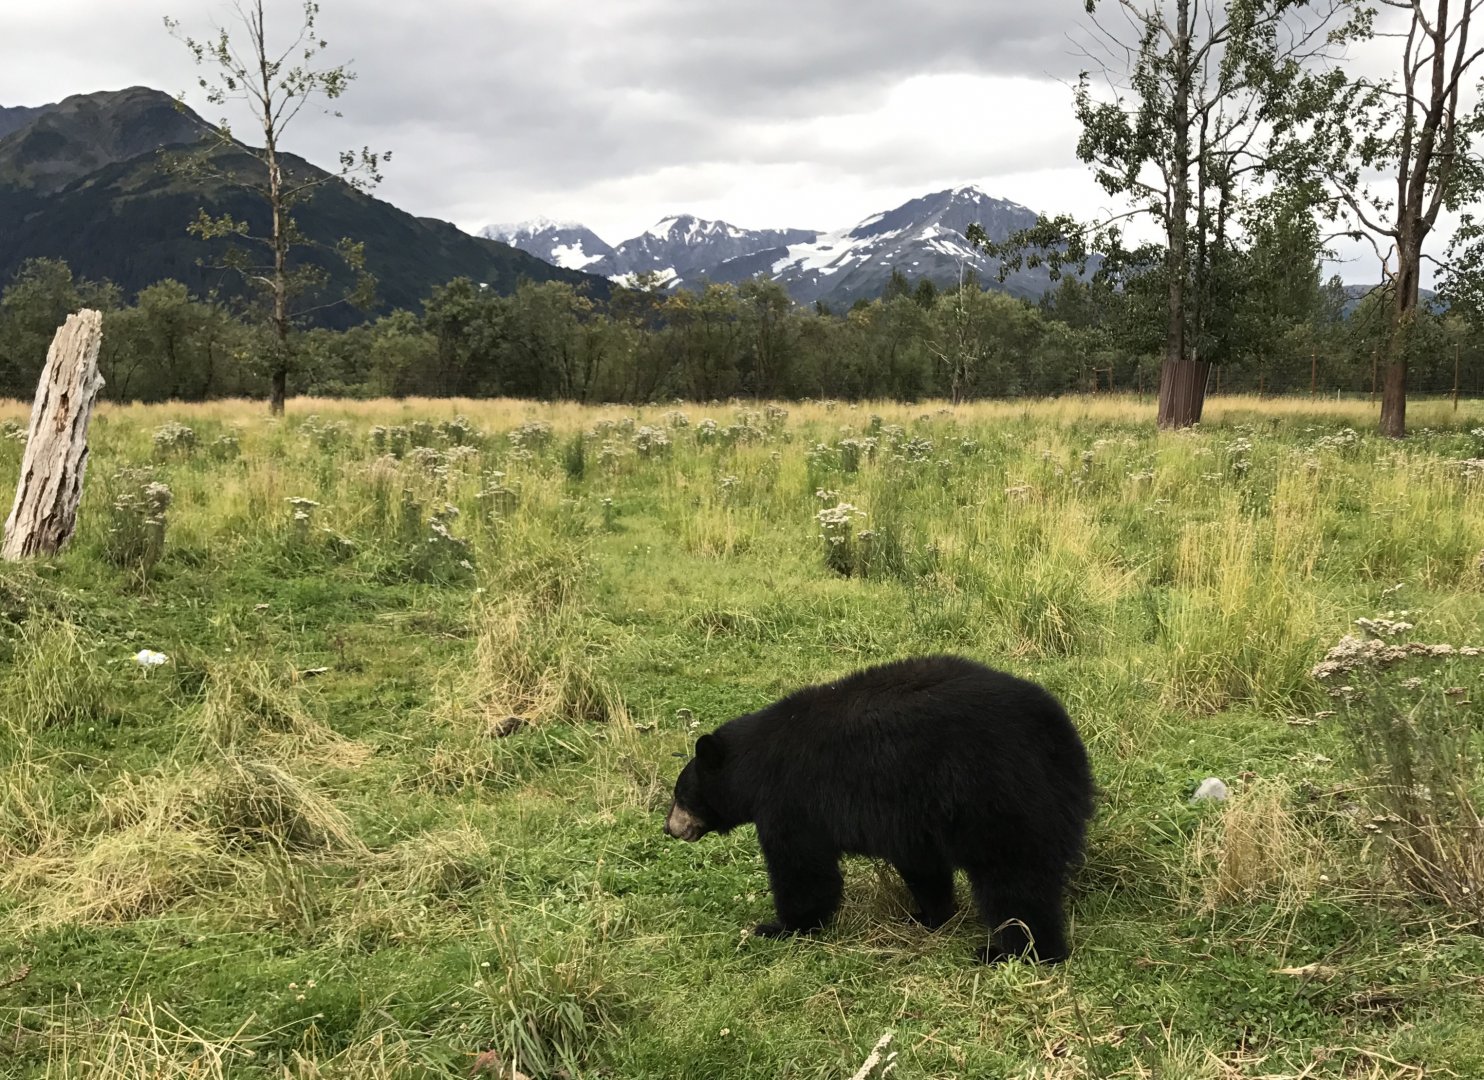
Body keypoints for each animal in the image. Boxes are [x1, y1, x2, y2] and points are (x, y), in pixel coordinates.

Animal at [664, 654, 1094, 963]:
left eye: (680, 795)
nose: (670, 828)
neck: (755, 764)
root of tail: (1062, 742)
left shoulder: (791, 800)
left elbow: (803, 871)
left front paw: (781, 926)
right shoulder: (912, 816)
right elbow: (923, 866)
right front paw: (927, 915)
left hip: (998, 798)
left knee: (1015, 882)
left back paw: (1015, 952)